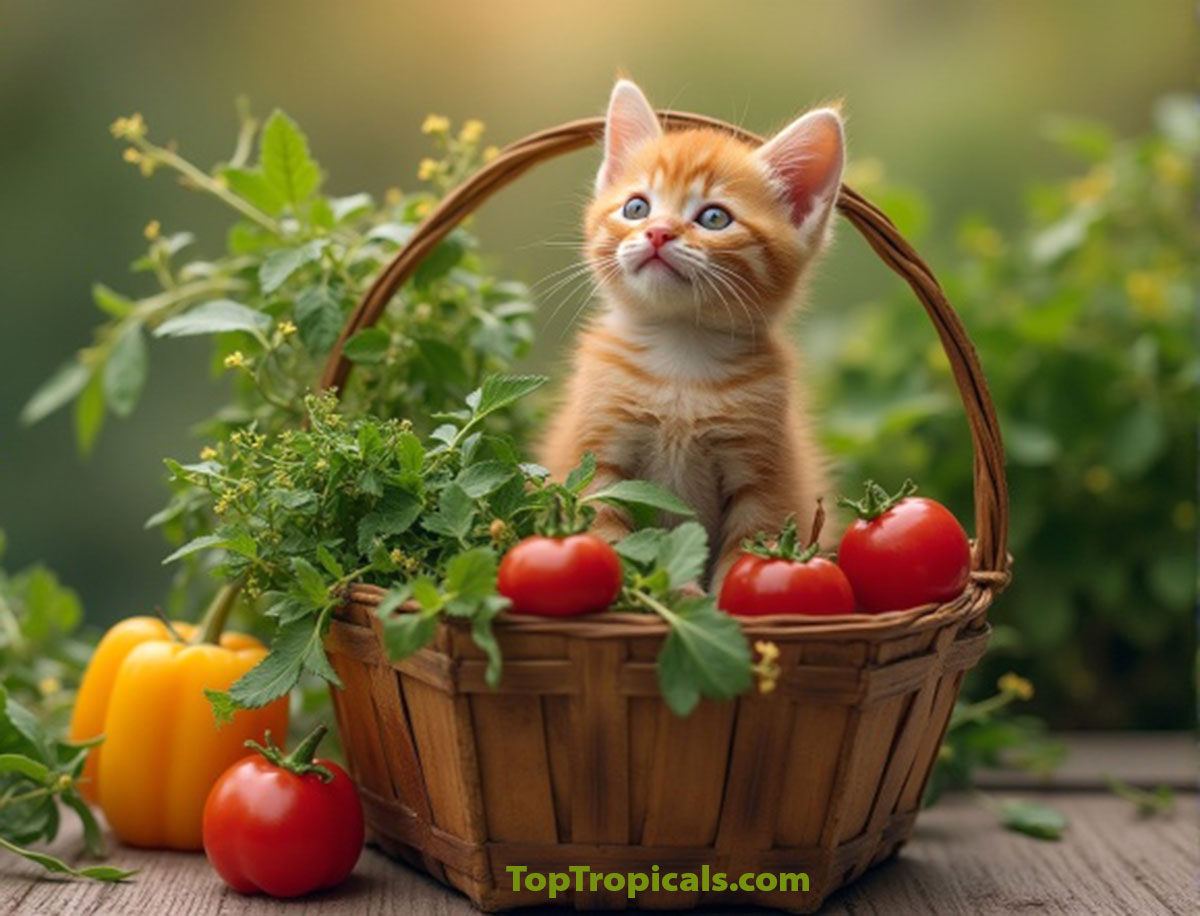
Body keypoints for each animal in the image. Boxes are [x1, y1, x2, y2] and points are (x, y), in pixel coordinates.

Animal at [544, 78, 844, 588]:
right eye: (637, 207)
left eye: (714, 218)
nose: (658, 233)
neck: (680, 359)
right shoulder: (596, 458)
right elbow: (612, 534)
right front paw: (671, 593)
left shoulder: (766, 476)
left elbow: (751, 547)